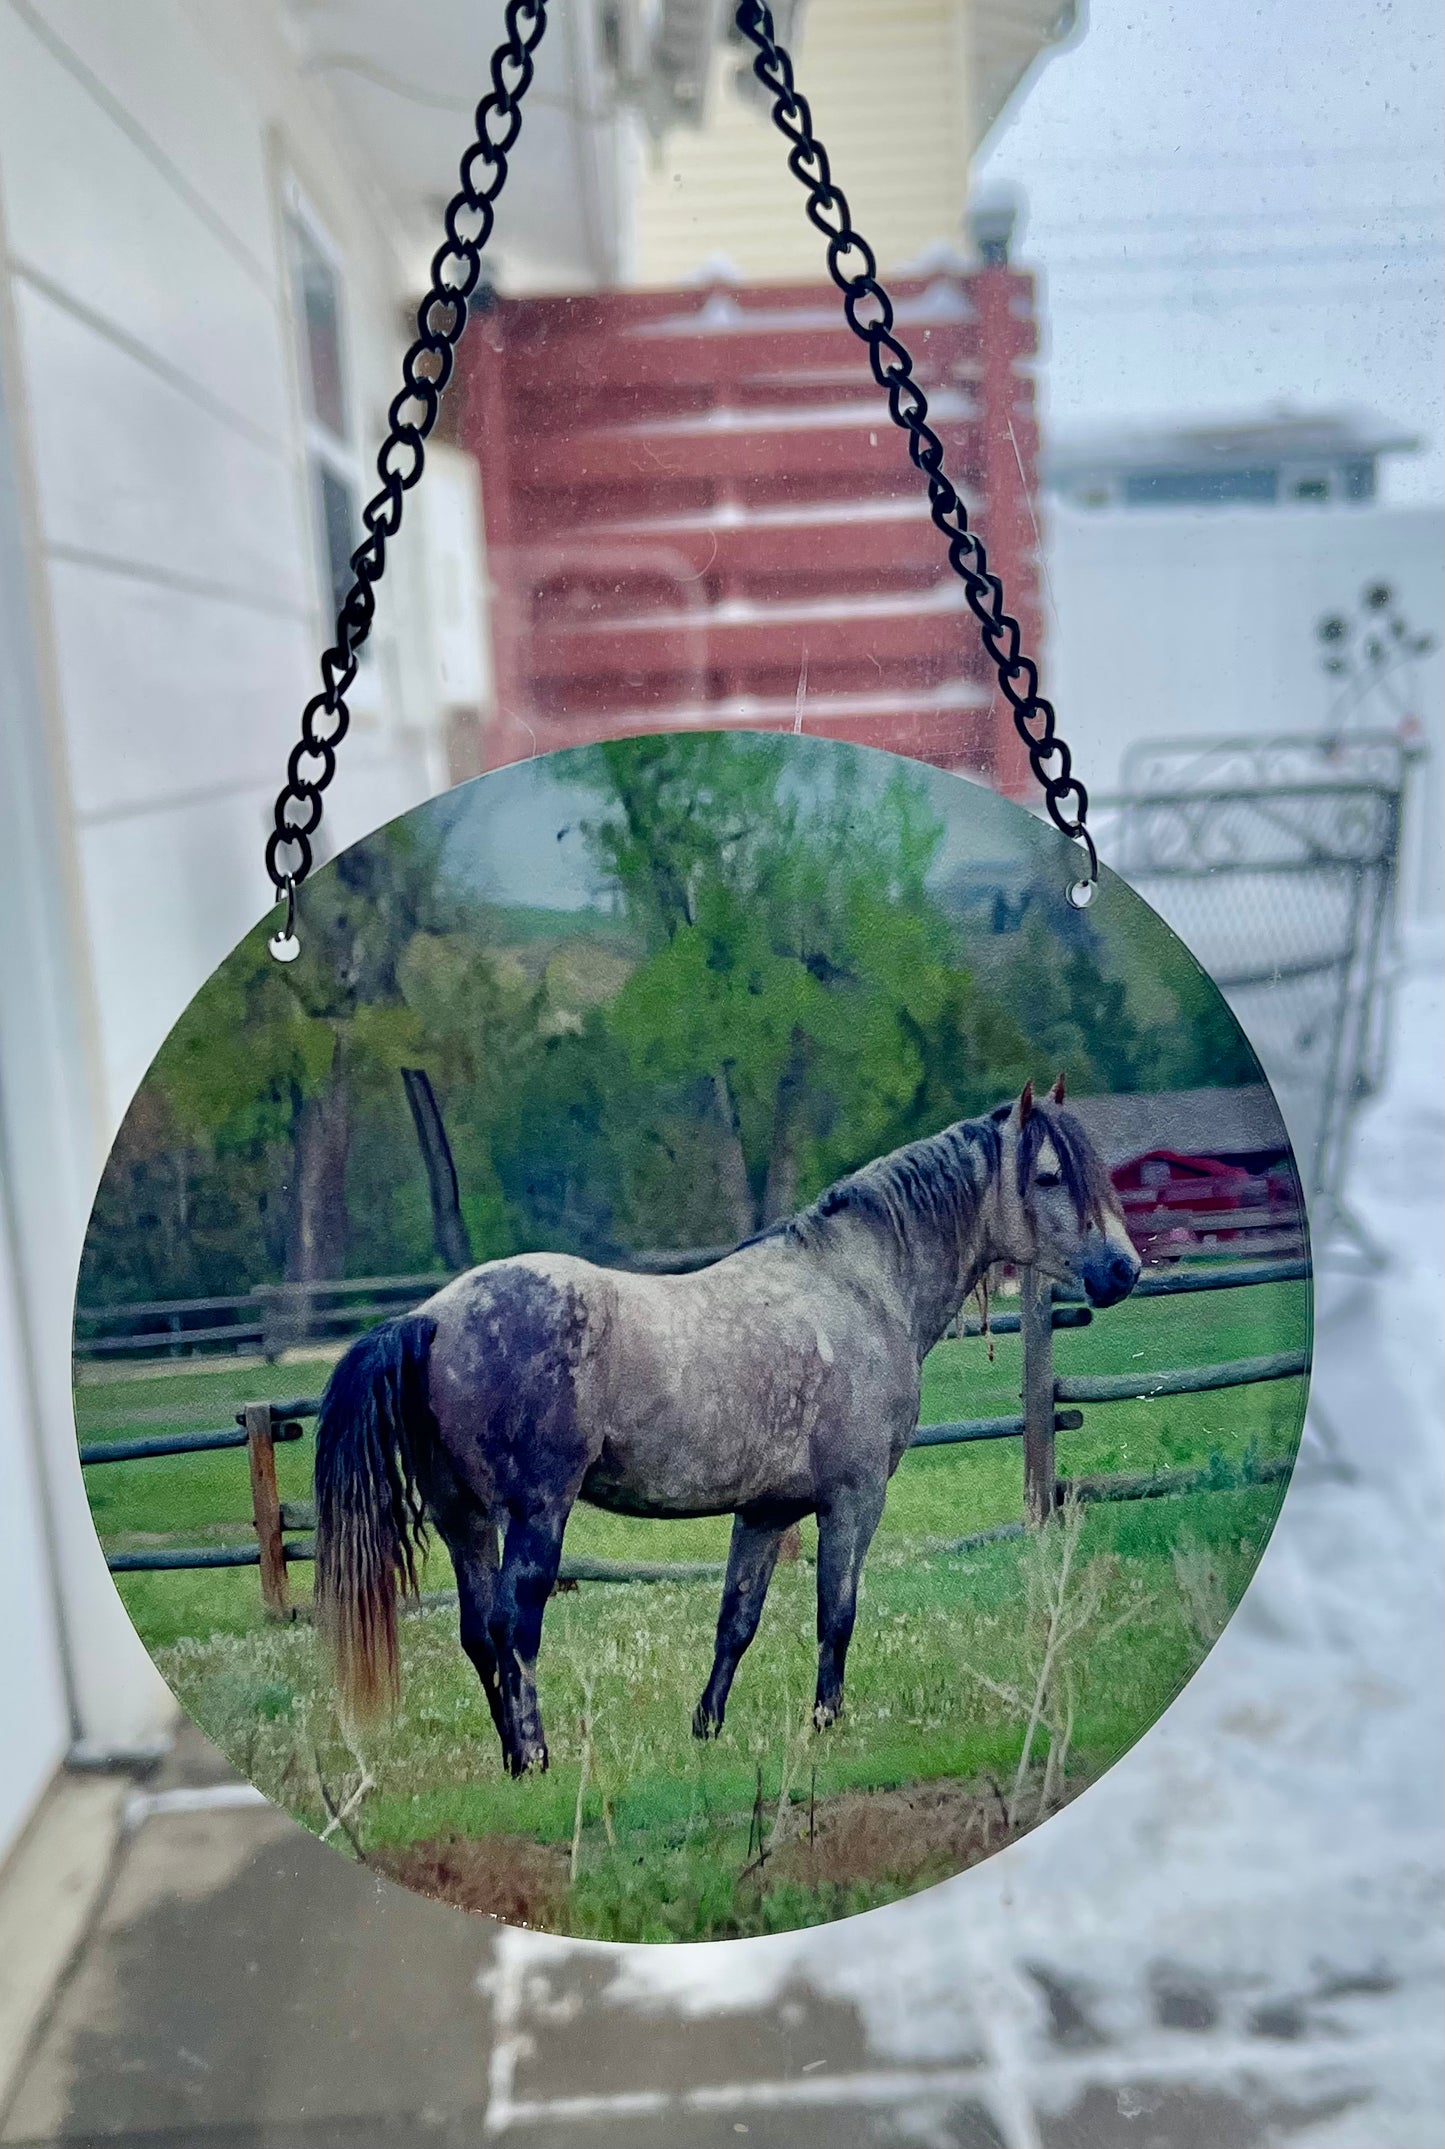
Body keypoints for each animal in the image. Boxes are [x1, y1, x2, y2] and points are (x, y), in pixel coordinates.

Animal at [313, 1077, 1140, 1778]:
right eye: (1048, 1176)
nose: (1122, 1270)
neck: (859, 1285)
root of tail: (432, 1315)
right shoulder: (853, 1500)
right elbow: (836, 1613)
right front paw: (823, 1725)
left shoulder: (765, 1512)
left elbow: (735, 1621)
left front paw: (706, 1729)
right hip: (535, 1513)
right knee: (515, 1629)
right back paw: (540, 1759)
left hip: (464, 1521)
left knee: (480, 1633)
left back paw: (516, 1763)